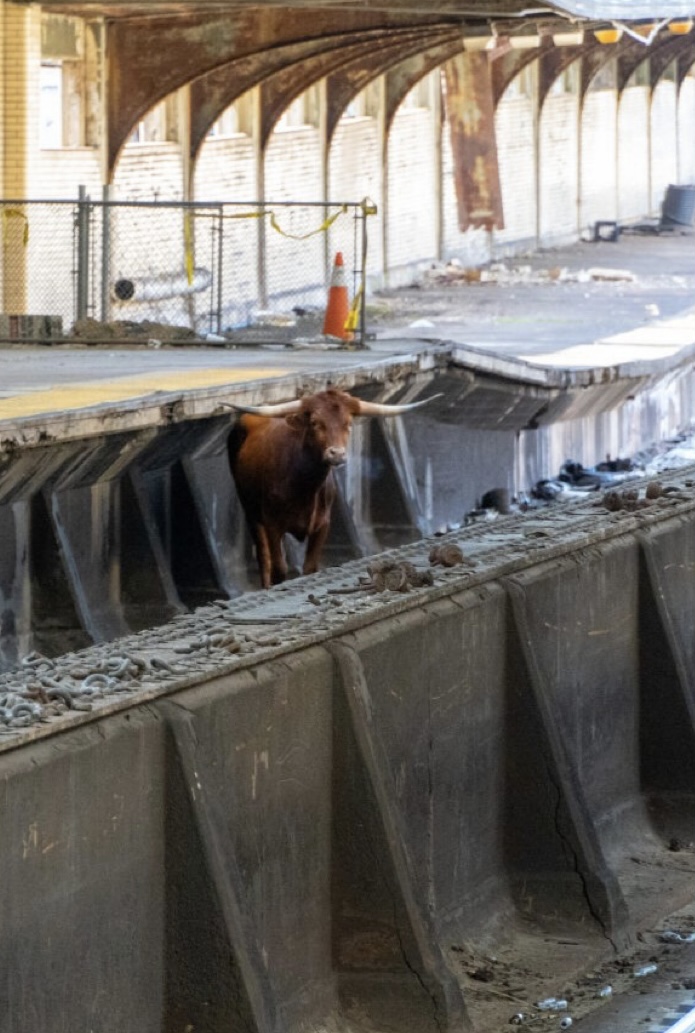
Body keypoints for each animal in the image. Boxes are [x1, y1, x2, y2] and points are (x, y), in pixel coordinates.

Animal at [227, 387, 440, 588]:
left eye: (349, 423)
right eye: (315, 422)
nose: (336, 454)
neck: (303, 486)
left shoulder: (322, 524)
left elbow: (310, 567)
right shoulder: (273, 524)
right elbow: (279, 569)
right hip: (251, 513)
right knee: (264, 559)